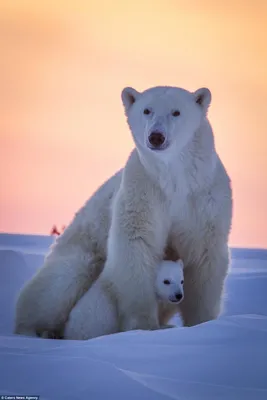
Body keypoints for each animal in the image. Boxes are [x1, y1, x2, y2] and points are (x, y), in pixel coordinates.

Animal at [14, 85, 232, 338]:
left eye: (176, 112)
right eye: (147, 110)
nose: (156, 136)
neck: (175, 178)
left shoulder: (204, 198)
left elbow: (204, 255)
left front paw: (203, 323)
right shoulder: (144, 189)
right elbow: (136, 246)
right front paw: (143, 325)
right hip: (78, 250)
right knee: (60, 284)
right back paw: (35, 330)